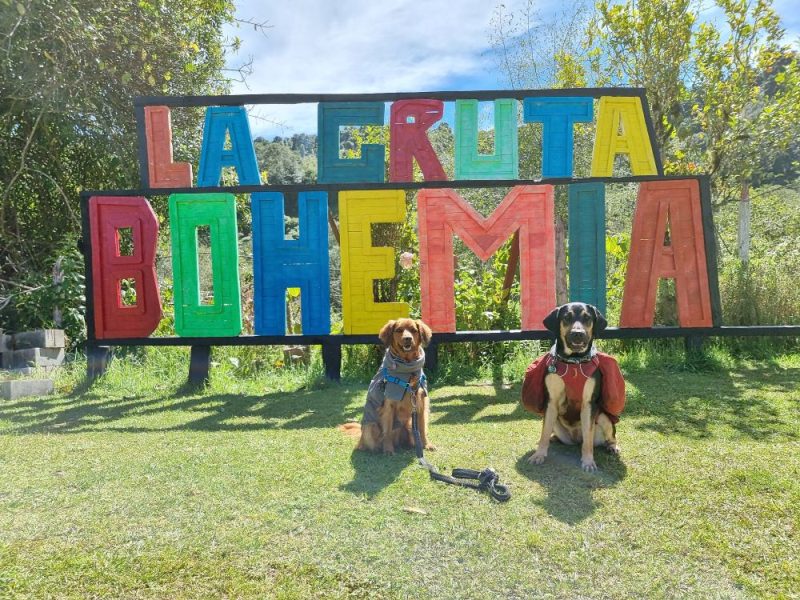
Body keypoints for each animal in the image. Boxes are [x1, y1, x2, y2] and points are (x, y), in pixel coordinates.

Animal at [340, 318, 434, 454]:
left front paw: (427, 444)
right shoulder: (388, 406)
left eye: (413, 330)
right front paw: (388, 449)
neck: (407, 368)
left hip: (409, 423)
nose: (408, 338)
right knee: (369, 442)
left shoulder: (420, 403)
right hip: (370, 426)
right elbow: (387, 431)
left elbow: (422, 428)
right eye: (399, 330)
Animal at [520, 302, 628, 472]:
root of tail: (576, 439)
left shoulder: (589, 404)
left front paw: (588, 461)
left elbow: (588, 438)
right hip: (556, 422)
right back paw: (553, 438)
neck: (574, 362)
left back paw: (612, 446)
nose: (578, 334)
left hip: (603, 418)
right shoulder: (551, 403)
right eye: (566, 318)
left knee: (607, 436)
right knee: (552, 432)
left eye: (587, 318)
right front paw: (539, 454)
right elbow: (544, 432)